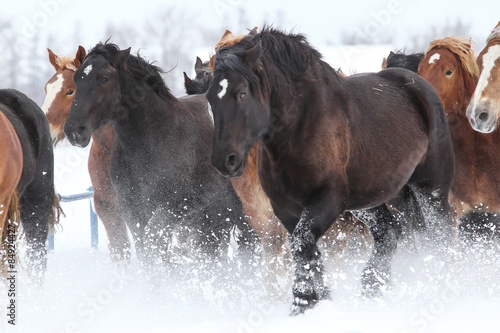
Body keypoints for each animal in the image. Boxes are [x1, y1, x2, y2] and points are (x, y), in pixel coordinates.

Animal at [64, 42, 256, 268]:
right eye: (76, 79)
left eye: (104, 78)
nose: (74, 130)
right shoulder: (132, 210)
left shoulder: (172, 206)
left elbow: (155, 241)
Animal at [205, 28, 456, 314]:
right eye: (210, 96)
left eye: (242, 93)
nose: (225, 161)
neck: (300, 126)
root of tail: (418, 84)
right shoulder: (286, 209)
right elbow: (307, 251)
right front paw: (316, 301)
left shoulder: (327, 200)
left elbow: (303, 245)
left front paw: (303, 302)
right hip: (371, 199)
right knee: (389, 232)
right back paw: (372, 288)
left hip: (431, 189)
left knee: (441, 233)